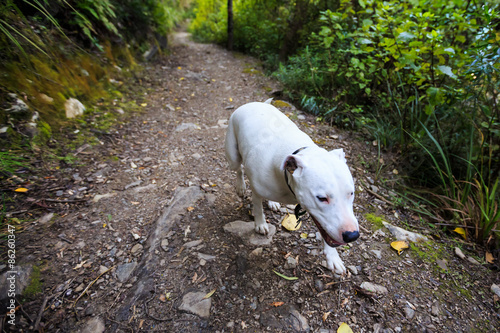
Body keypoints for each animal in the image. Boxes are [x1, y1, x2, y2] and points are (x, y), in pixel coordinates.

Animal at [227, 100, 360, 274]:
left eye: (351, 193)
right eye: (321, 198)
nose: (352, 235)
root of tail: (255, 103)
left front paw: (333, 257)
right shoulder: (256, 189)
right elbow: (257, 206)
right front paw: (260, 224)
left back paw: (272, 202)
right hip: (233, 154)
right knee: (239, 169)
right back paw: (241, 187)